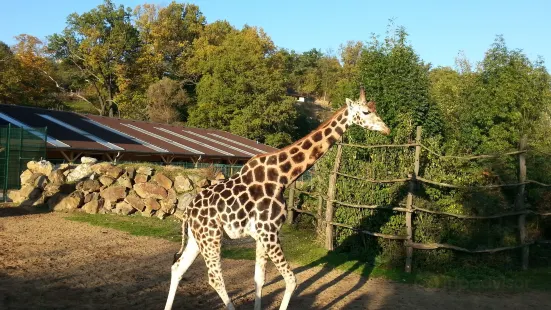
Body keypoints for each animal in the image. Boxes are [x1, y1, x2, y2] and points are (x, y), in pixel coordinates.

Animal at [165, 87, 392, 310]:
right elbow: (291, 280)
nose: (386, 129)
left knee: (177, 267)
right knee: (214, 278)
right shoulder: (269, 232)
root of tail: (188, 211)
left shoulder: (262, 235)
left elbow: (259, 279)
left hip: (197, 238)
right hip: (211, 236)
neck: (282, 176)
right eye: (365, 112)